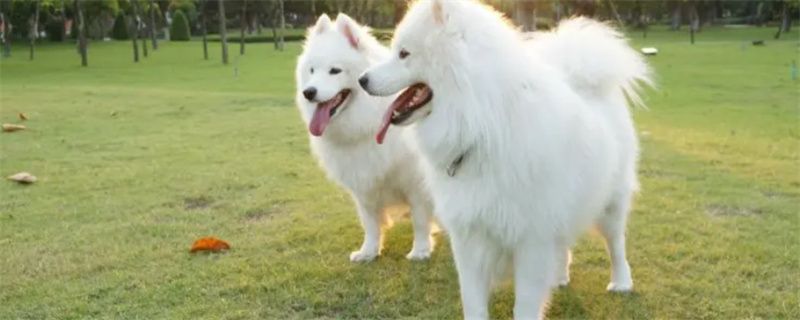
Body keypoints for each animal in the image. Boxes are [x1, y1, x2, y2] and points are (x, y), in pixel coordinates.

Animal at [294, 13, 434, 262]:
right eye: (311, 71)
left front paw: (420, 250)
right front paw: (368, 251)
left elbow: (419, 219)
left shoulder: (416, 184)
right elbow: (370, 223)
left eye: (335, 71)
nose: (308, 92)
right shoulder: (362, 188)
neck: (367, 121)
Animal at [360, 0, 652, 318]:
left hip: (610, 205)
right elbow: (473, 302)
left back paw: (621, 282)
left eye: (403, 54)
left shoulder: (531, 240)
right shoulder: (469, 238)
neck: (484, 125)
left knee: (616, 245)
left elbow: (524, 305)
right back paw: (560, 278)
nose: (362, 79)